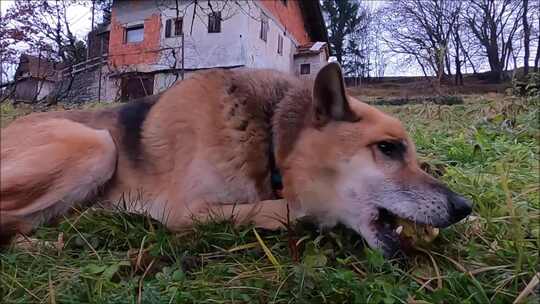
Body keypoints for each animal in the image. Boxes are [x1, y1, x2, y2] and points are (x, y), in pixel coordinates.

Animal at [0, 63, 470, 256]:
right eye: (388, 148)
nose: (464, 208)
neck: (269, 140)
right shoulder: (185, 211)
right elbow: (287, 208)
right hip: (96, 145)